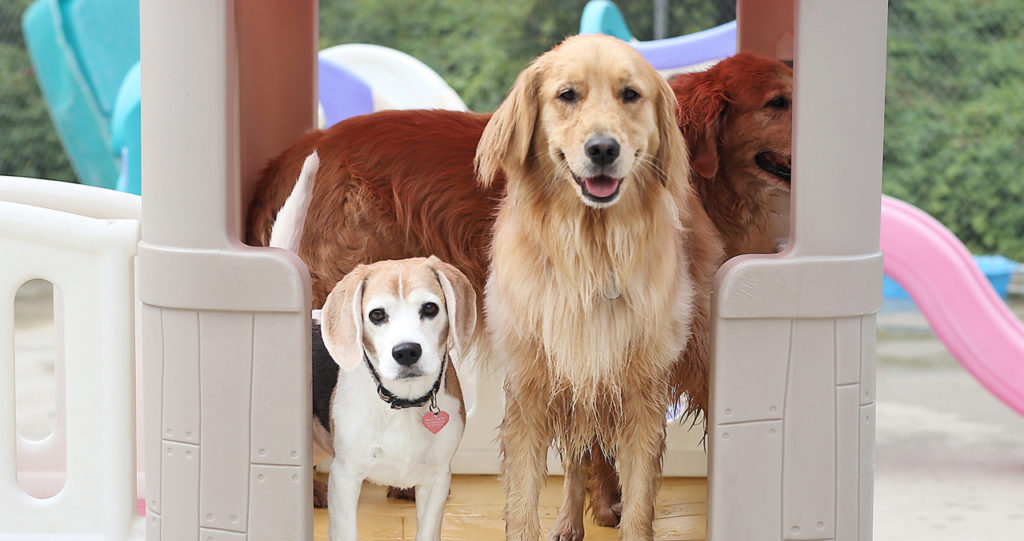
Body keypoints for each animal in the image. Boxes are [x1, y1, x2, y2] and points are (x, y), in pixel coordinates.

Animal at [266, 151, 473, 541]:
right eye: (377, 315)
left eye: (430, 309)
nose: (406, 352)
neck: (403, 403)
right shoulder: (345, 478)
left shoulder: (437, 481)